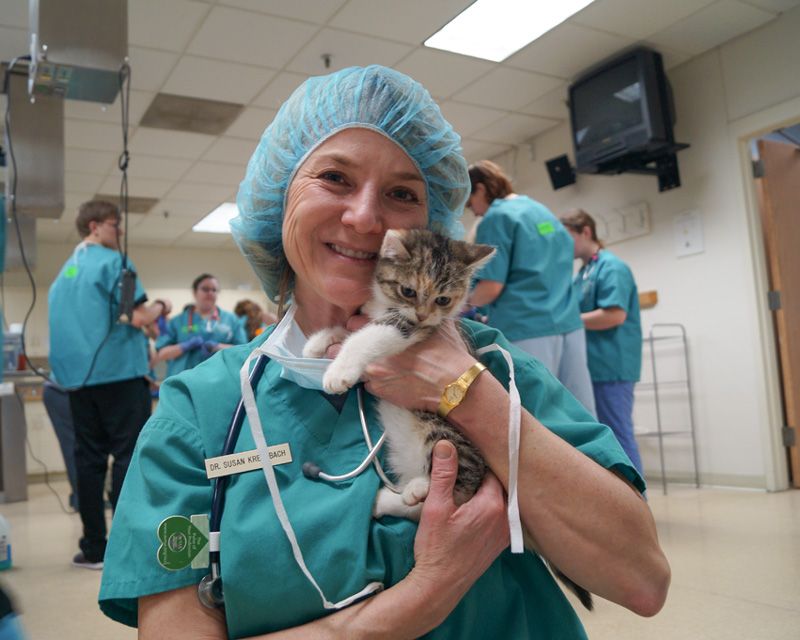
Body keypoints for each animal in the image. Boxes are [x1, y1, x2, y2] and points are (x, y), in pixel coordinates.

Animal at [304, 229, 592, 608]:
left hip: (443, 434)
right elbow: (349, 327)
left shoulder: (407, 329)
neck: (386, 303)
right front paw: (317, 342)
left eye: (443, 299)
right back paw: (390, 498)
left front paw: (339, 370)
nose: (424, 315)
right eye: (408, 290)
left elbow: (369, 335)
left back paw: (420, 487)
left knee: (454, 491)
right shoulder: (379, 312)